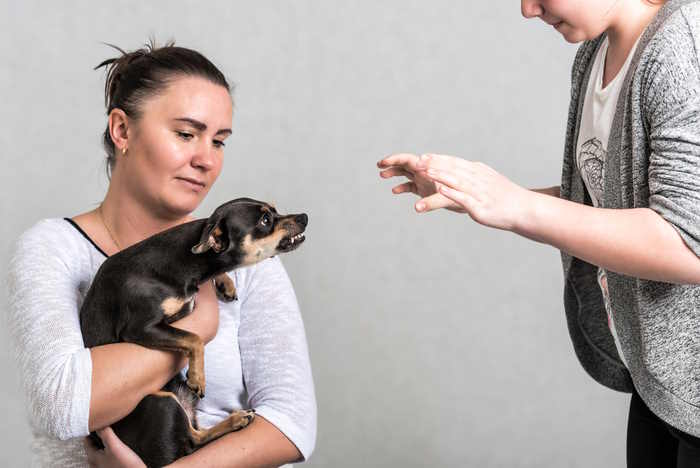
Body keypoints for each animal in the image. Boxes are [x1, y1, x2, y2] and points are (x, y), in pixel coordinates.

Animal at [80, 198, 308, 468]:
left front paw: (225, 282)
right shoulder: (141, 328)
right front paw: (198, 377)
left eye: (274, 210)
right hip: (160, 400)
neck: (184, 262)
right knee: (193, 442)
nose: (304, 217)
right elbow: (194, 338)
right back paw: (235, 420)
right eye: (264, 221)